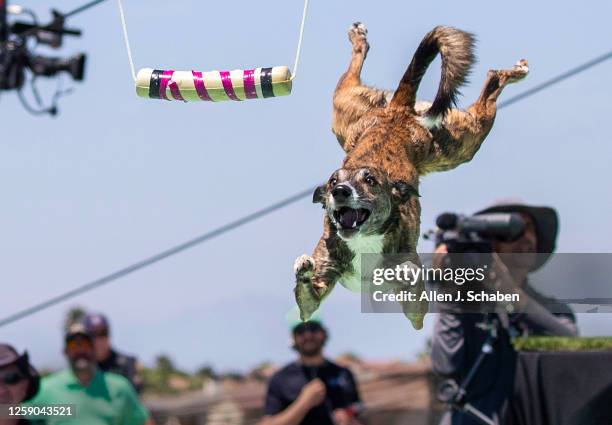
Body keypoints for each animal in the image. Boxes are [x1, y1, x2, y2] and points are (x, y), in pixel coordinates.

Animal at [292, 22, 524, 328]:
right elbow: (308, 301)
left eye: (370, 181)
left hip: (459, 145)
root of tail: (397, 111)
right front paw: (303, 269)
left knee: (491, 87)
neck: (364, 240)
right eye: (332, 182)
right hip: (348, 113)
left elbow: (412, 287)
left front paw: (405, 271)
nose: (340, 191)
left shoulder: (416, 310)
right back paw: (359, 40)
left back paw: (513, 72)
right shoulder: (317, 290)